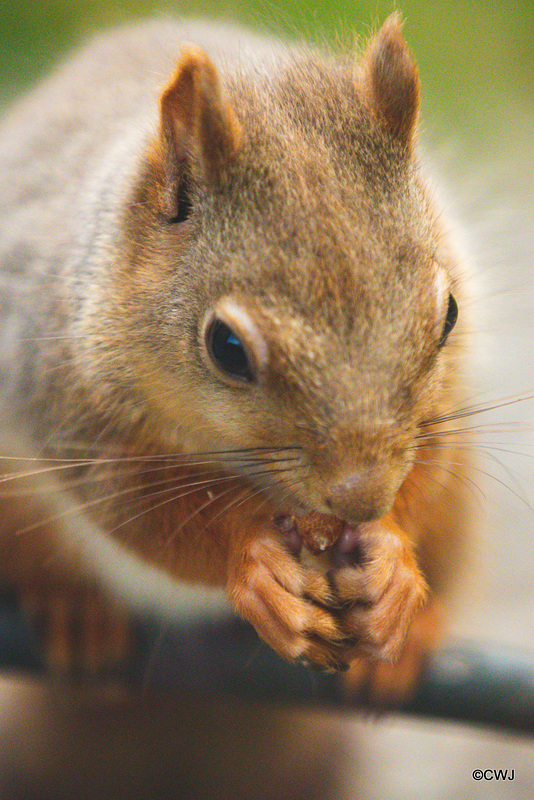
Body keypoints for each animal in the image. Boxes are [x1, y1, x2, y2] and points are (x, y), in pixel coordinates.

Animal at [0, 14, 478, 700]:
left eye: (450, 314)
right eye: (225, 348)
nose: (362, 498)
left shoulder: (441, 412)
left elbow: (426, 468)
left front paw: (391, 559)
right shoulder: (70, 401)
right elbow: (140, 510)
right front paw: (252, 561)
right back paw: (74, 609)